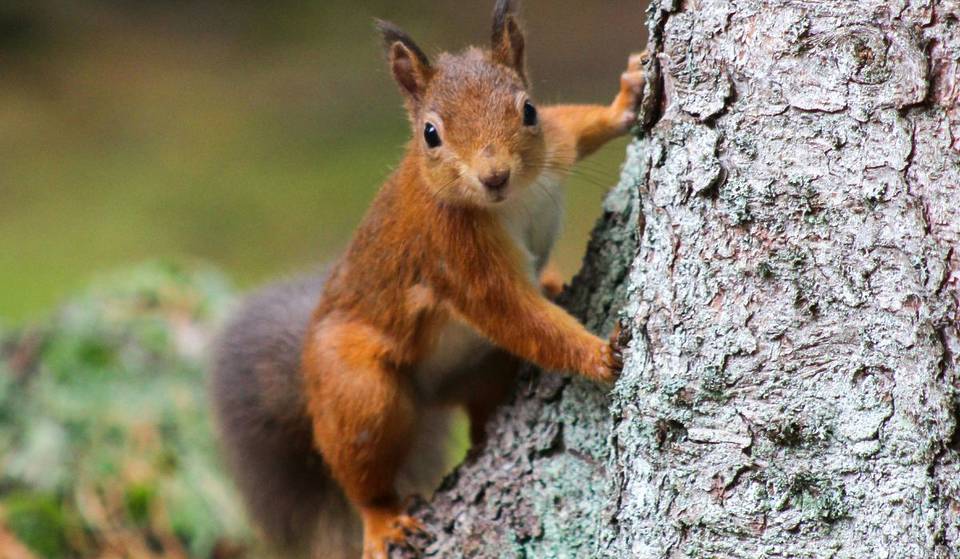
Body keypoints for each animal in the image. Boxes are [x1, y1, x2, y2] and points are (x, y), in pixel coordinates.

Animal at [211, 1, 646, 557]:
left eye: (527, 110)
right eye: (430, 134)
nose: (494, 176)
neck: (510, 201)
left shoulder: (555, 145)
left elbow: (574, 122)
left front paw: (626, 98)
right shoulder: (455, 256)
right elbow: (515, 314)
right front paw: (599, 355)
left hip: (484, 370)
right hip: (358, 390)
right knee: (362, 467)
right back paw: (381, 520)